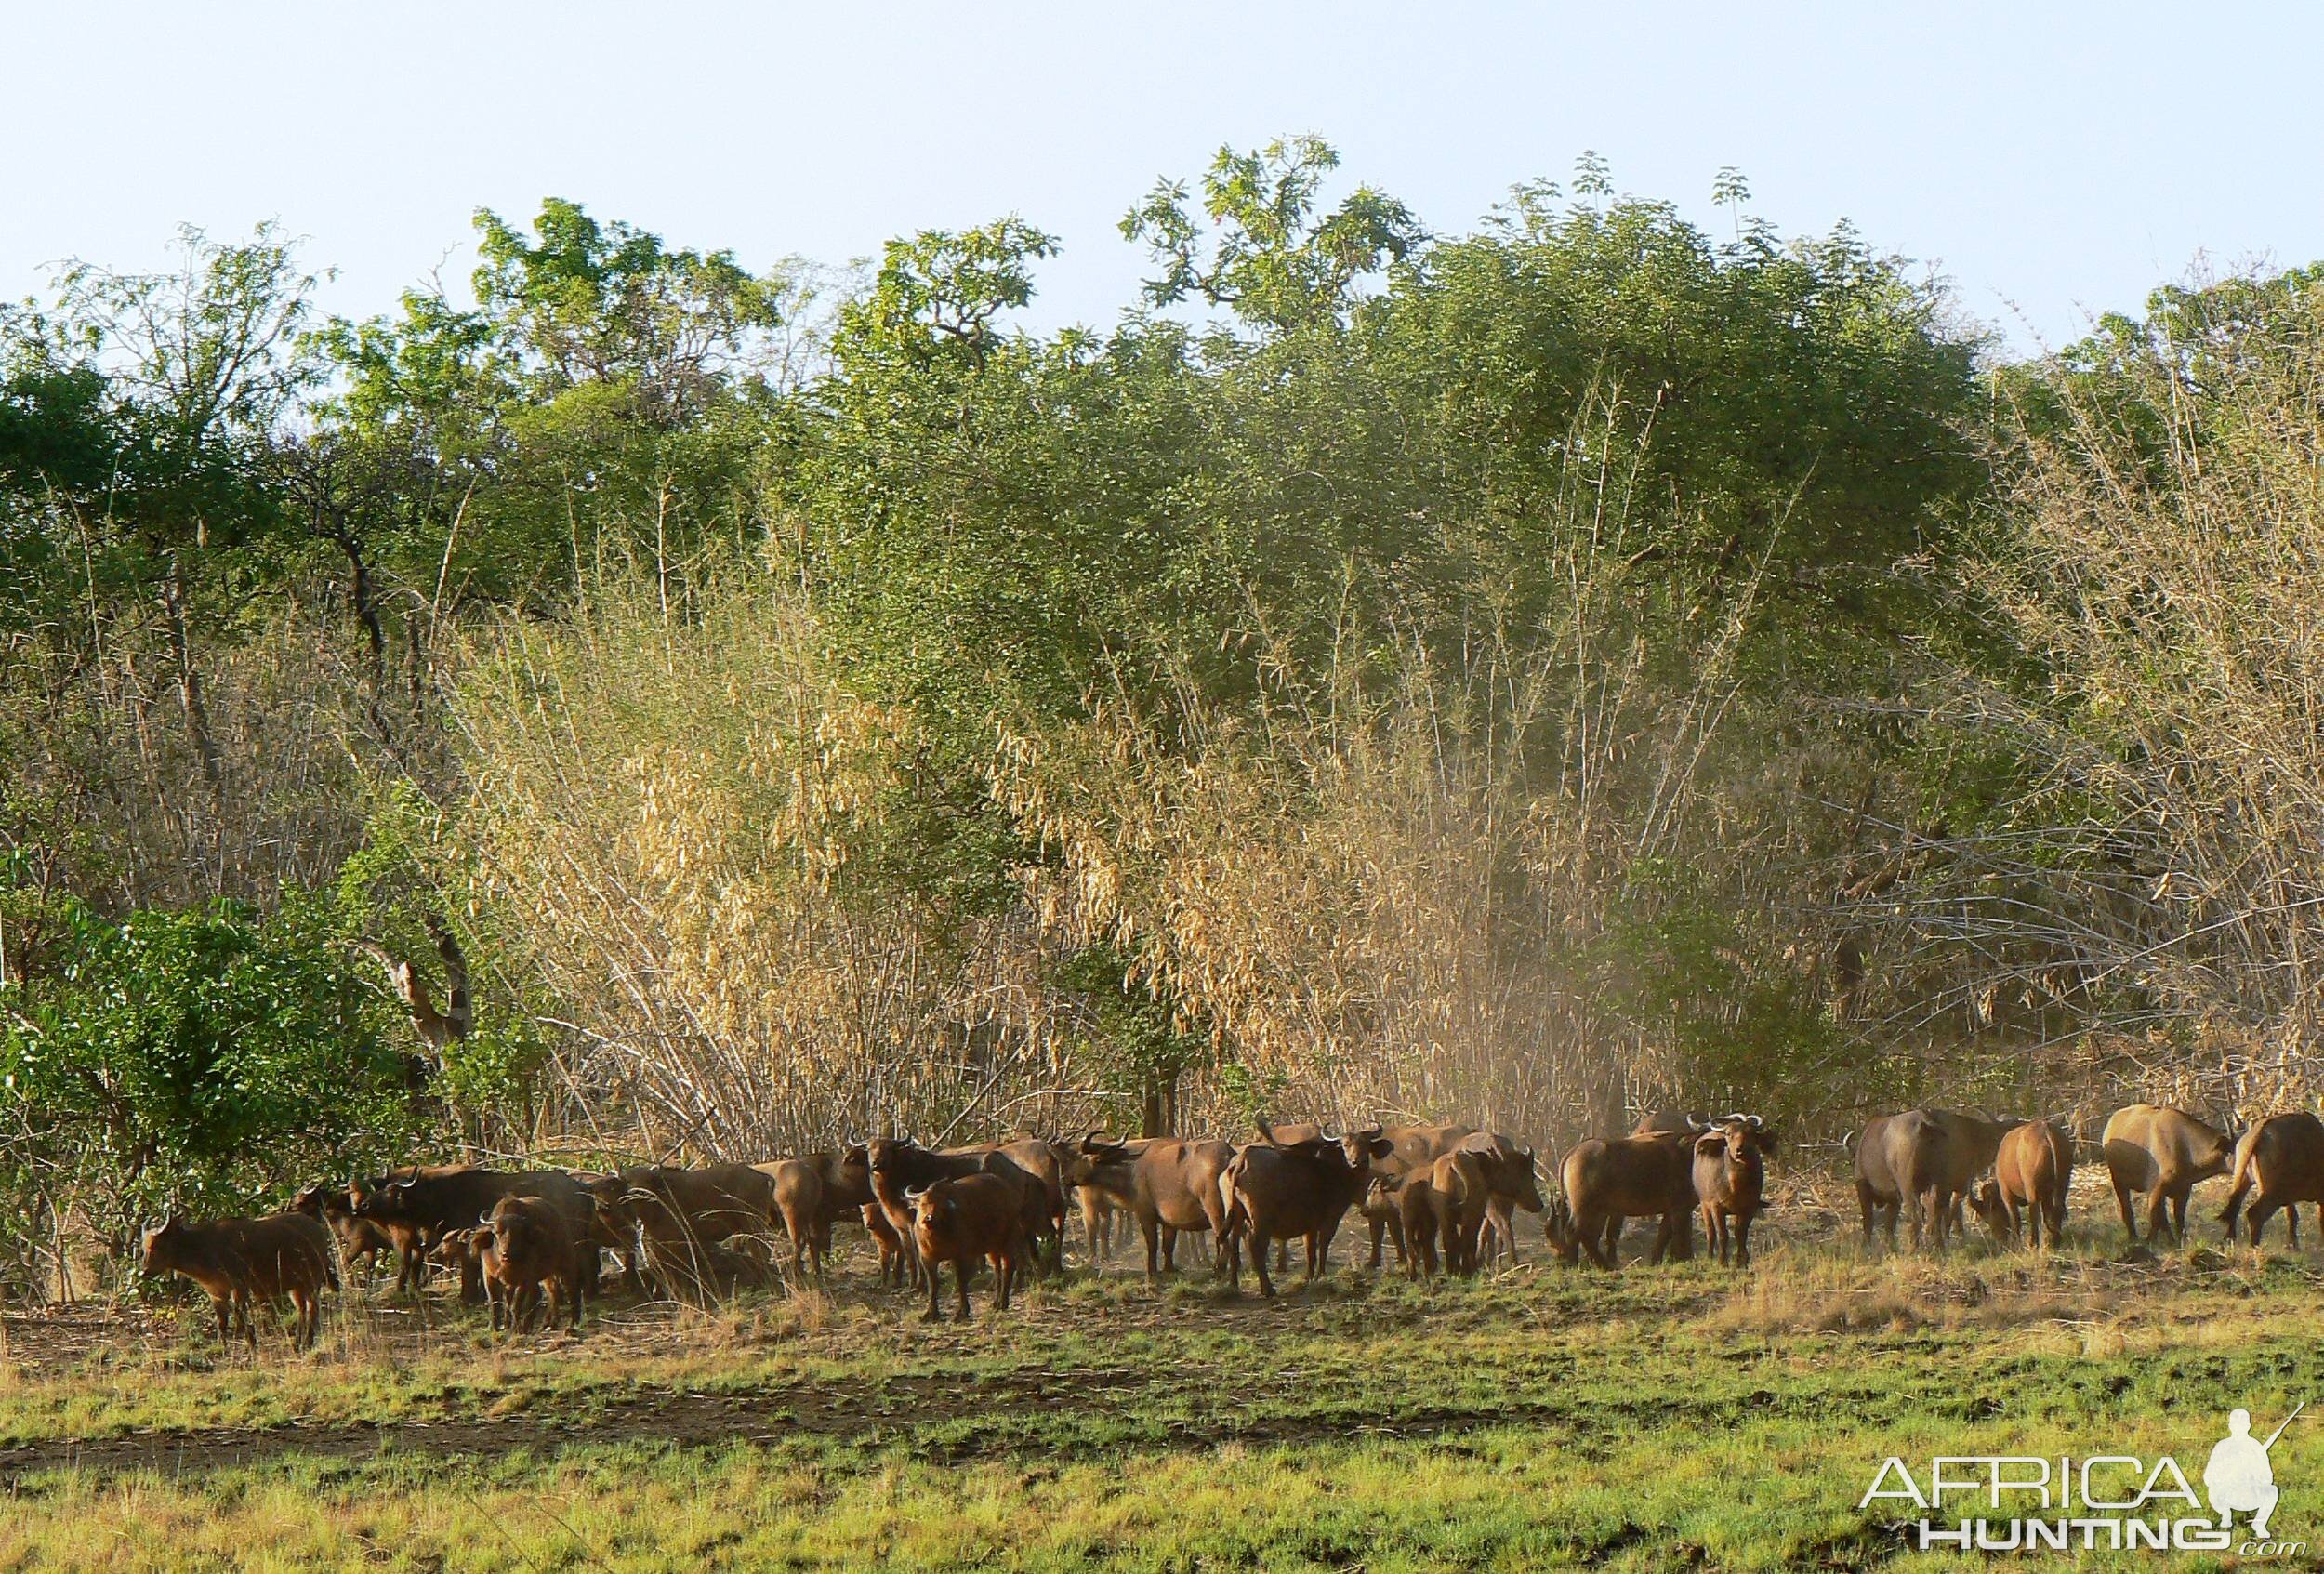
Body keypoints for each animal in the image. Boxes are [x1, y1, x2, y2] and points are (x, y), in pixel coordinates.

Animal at [139, 1209, 337, 1348]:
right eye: (144, 1247)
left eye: (157, 1245)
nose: (144, 1272)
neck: (204, 1247)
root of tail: (319, 1229)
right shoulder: (216, 1292)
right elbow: (221, 1321)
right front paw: (222, 1346)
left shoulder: (239, 1287)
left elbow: (239, 1314)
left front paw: (251, 1341)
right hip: (296, 1287)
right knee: (302, 1309)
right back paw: (298, 1341)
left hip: (312, 1281)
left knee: (313, 1308)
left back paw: (308, 1341)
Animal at [2110, 1106, 2231, 1237]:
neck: (2185, 1147)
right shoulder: (2155, 1190)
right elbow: (2155, 1220)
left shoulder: (2184, 1190)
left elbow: (2178, 1219)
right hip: (2119, 1183)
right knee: (2127, 1211)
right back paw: (2133, 1238)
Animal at [2212, 1111, 2324, 1246]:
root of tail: (2259, 1131)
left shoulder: (2290, 1199)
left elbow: (2292, 1217)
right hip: (2274, 1193)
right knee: (2254, 1213)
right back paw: (2254, 1246)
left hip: (2243, 1179)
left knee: (2234, 1205)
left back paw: (2230, 1239)